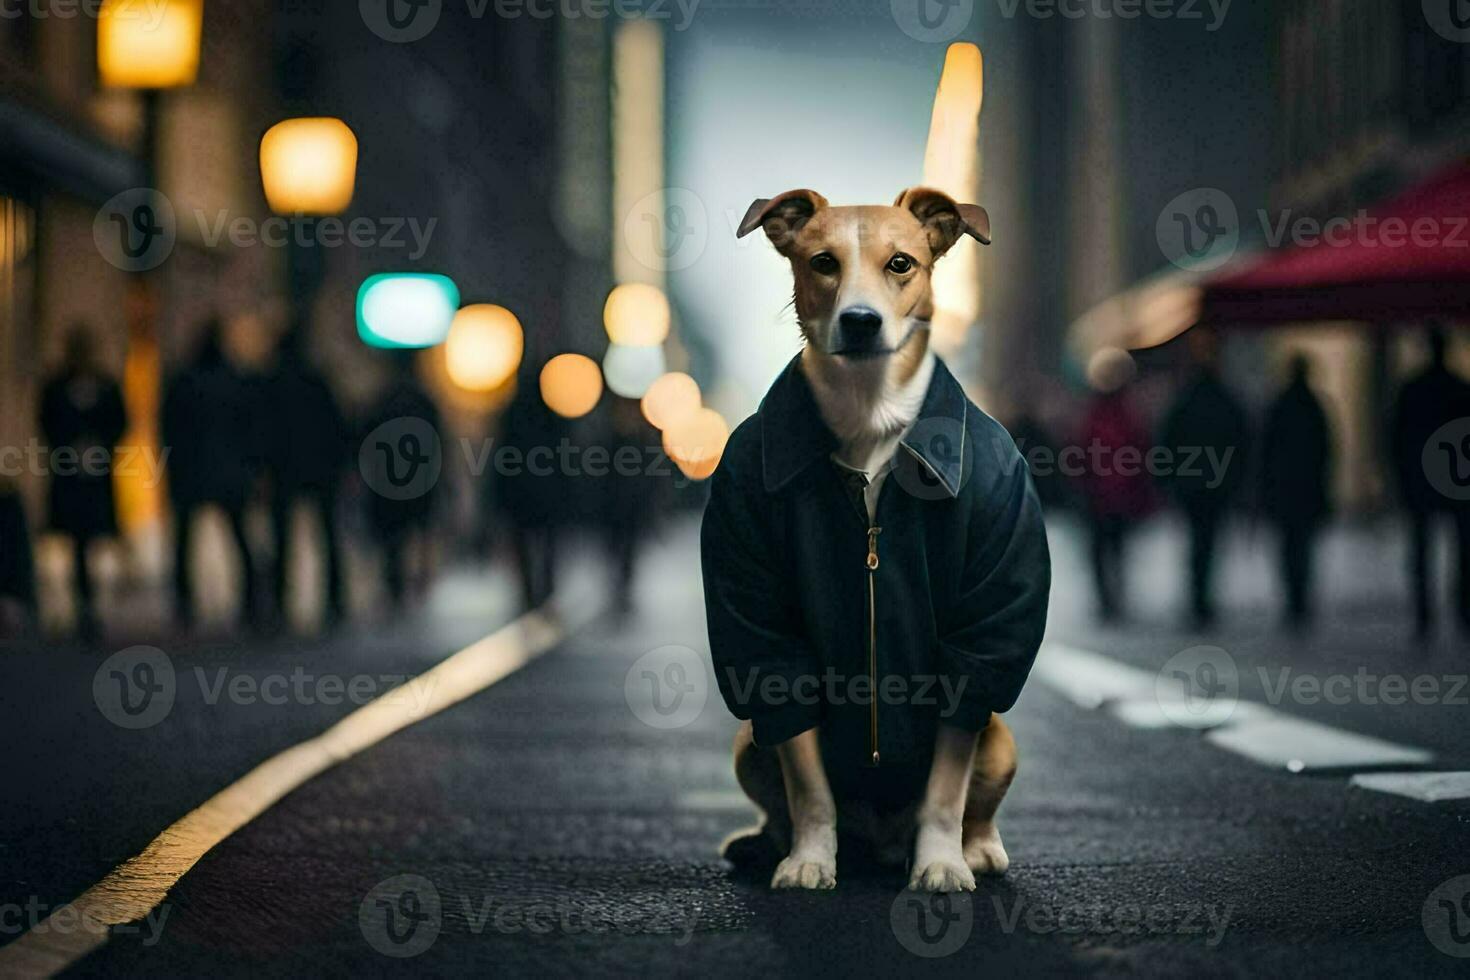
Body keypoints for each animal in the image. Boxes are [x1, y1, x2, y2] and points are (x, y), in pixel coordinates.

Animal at [726, 188, 1023, 893]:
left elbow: (947, 786)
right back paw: (765, 844)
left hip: (1001, 738)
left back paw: (977, 847)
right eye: (823, 262)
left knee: (977, 802)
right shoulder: (771, 646)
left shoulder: (979, 644)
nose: (860, 321)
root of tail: (882, 839)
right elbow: (807, 783)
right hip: (747, 743)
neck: (870, 416)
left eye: (901, 263)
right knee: (778, 796)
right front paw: (809, 858)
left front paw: (940, 862)